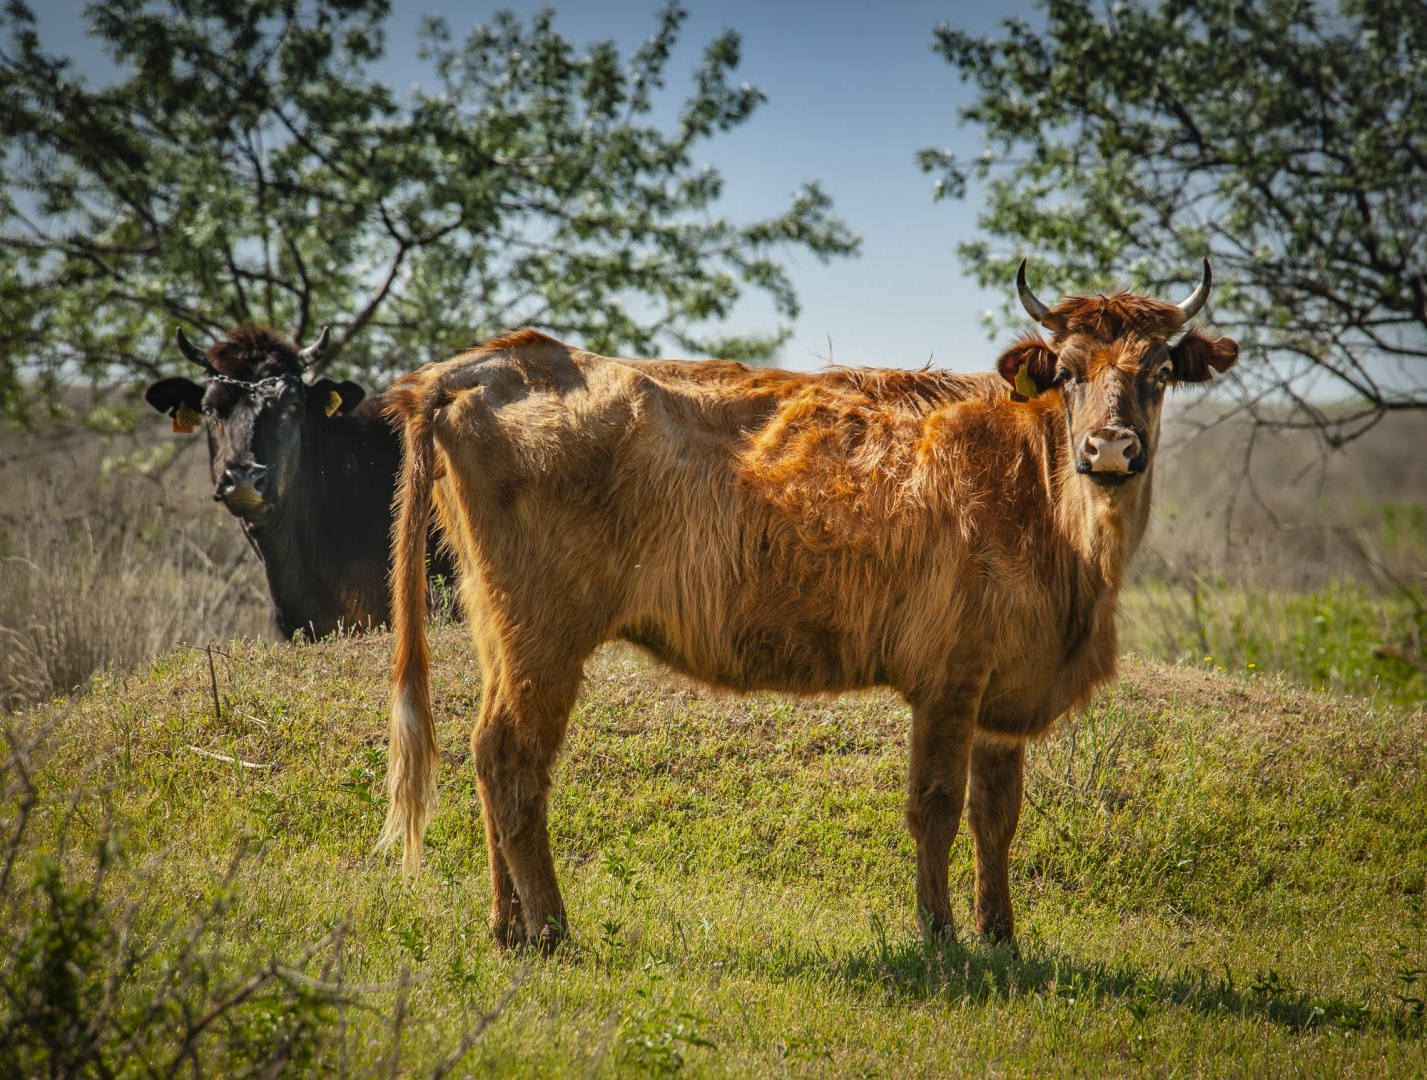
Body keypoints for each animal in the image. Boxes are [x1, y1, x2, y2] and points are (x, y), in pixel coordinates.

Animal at [379, 263, 1238, 953]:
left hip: (496, 626)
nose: (1111, 449)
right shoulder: (949, 677)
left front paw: (1001, 939)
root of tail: (494, 359)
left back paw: (508, 927)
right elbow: (935, 805)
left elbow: (997, 816)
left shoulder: (1003, 691)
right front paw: (940, 937)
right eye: (1065, 369)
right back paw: (552, 929)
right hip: (546, 635)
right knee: (514, 758)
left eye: (1159, 369)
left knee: (485, 750)